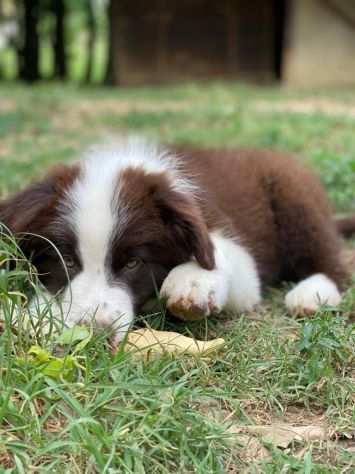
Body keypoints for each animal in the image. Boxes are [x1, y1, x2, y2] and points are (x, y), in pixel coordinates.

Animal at [0, 137, 355, 344]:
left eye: (133, 263)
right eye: (67, 261)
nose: (95, 334)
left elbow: (220, 254)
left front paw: (194, 280)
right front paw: (31, 314)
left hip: (294, 196)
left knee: (331, 259)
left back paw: (313, 292)